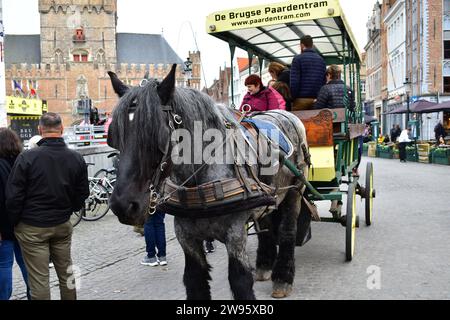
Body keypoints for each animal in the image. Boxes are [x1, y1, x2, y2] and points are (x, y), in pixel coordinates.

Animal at [107, 63, 312, 298]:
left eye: (156, 135)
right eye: (113, 137)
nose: (122, 205)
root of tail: (287, 114)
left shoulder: (235, 233)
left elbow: (240, 281)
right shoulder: (185, 235)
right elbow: (194, 279)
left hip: (294, 191)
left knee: (288, 231)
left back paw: (282, 278)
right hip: (270, 196)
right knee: (268, 225)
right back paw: (264, 266)